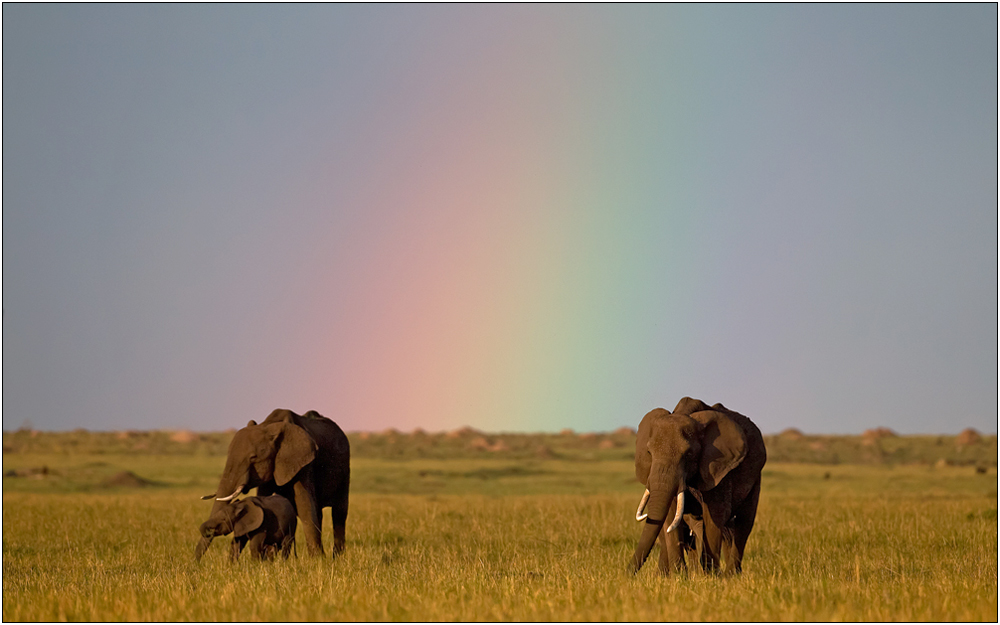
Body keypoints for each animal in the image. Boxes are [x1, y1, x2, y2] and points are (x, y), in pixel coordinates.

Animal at [196, 410, 352, 556]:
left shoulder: (303, 463)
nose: (196, 563)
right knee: (319, 512)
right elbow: (265, 498)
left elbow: (305, 505)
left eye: (253, 458)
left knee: (339, 513)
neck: (268, 426)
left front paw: (318, 560)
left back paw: (337, 557)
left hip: (344, 470)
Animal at [632, 394, 764, 576]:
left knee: (743, 524)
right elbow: (670, 517)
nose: (626, 575)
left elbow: (715, 515)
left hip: (756, 477)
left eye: (688, 455)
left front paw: (711, 577)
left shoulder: (719, 468)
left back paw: (731, 575)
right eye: (649, 453)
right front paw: (680, 577)